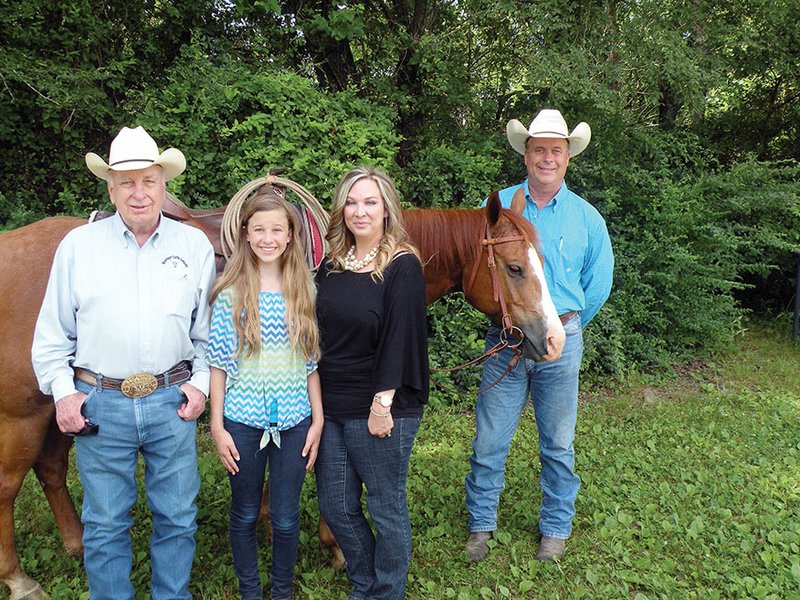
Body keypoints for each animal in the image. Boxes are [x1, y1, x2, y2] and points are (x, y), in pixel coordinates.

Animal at [0, 195, 564, 596]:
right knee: (9, 487)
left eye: (540, 261)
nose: (555, 339)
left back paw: (75, 544)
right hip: (23, 416)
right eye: (515, 268)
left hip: (66, 407)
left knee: (50, 469)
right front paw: (335, 546)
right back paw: (20, 578)